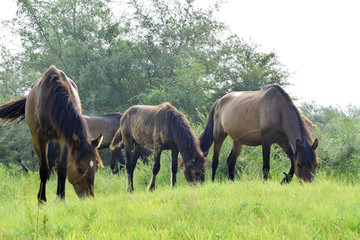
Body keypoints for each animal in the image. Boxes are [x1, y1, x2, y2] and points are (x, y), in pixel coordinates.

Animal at [0, 65, 104, 202]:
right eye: (79, 169)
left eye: (96, 167)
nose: (89, 197)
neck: (54, 102)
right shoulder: (41, 138)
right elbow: (44, 169)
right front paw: (41, 200)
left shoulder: (65, 139)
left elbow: (62, 169)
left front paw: (61, 198)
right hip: (36, 139)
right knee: (42, 164)